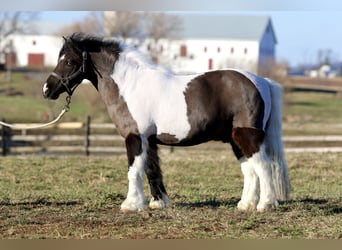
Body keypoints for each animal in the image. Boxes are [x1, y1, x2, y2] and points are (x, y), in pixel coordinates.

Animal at [42, 32, 288, 213]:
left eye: (69, 61)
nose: (47, 90)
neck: (130, 85)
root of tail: (261, 81)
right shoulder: (149, 140)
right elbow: (152, 169)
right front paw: (158, 202)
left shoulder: (135, 137)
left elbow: (134, 170)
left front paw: (131, 205)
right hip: (235, 138)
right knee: (250, 170)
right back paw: (245, 205)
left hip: (247, 135)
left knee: (263, 166)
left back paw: (265, 205)